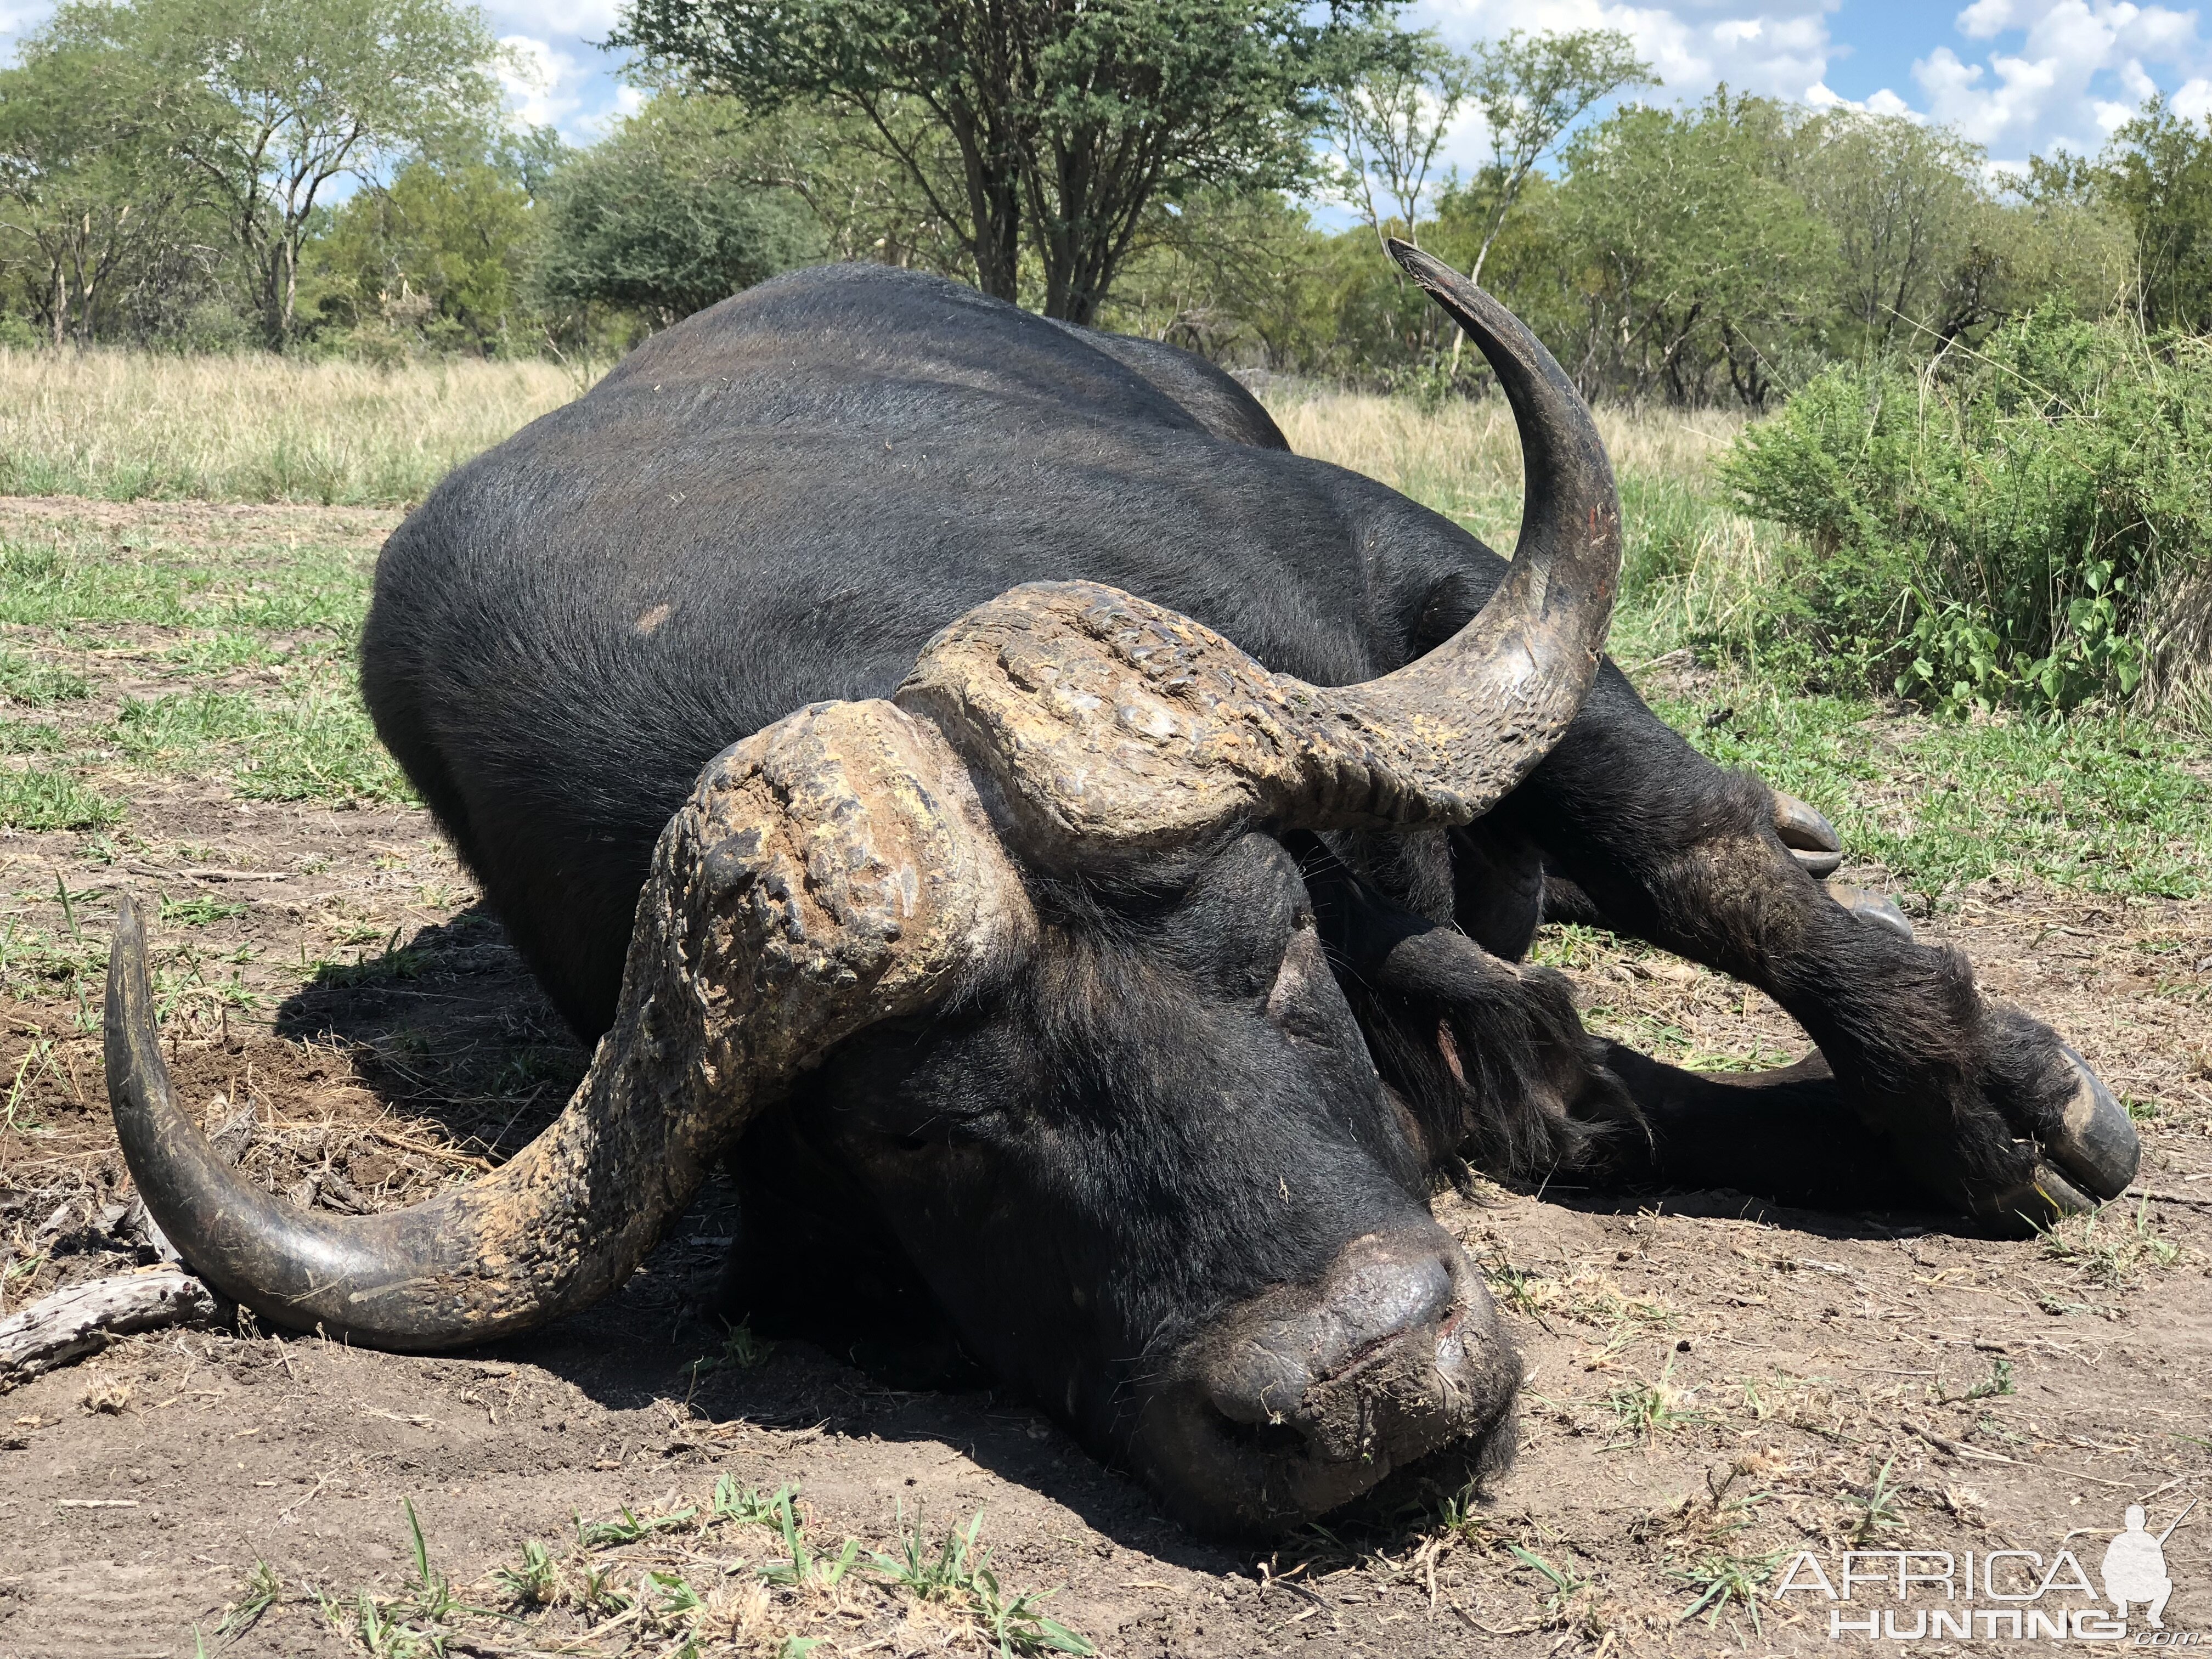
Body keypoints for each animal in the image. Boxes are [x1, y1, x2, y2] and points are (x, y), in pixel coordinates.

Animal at [108, 250, 2141, 1548]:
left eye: (1278, 953)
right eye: (926, 1136)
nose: (1373, 1387)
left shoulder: (1414, 572)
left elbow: (1703, 853)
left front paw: (2000, 1101)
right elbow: (1597, 1110)